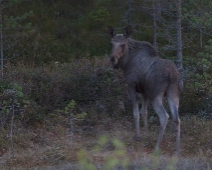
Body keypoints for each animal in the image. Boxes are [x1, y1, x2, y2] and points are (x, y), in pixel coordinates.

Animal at [107, 25, 181, 155]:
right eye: (111, 43)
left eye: (123, 44)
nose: (113, 59)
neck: (127, 62)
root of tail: (171, 74)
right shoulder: (145, 93)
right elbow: (144, 112)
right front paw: (146, 133)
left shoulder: (131, 86)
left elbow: (136, 113)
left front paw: (137, 136)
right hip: (173, 94)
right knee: (177, 118)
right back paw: (177, 151)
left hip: (156, 95)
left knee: (164, 116)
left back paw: (157, 148)